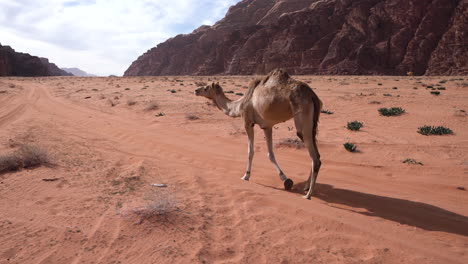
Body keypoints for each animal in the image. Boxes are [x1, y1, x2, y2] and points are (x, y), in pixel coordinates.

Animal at [194, 69, 322, 199]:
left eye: (206, 88)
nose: (196, 90)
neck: (239, 106)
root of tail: (312, 96)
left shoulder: (247, 122)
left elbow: (250, 152)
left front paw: (246, 176)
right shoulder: (267, 126)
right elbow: (270, 154)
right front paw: (286, 181)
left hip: (302, 117)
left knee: (314, 157)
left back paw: (308, 195)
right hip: (312, 123)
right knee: (316, 153)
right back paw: (306, 187)